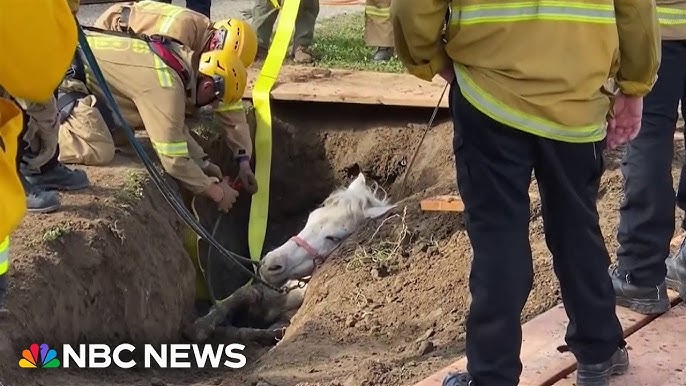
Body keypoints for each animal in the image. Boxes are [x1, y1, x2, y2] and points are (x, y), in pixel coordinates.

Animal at [185, 173, 396, 342]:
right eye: (310, 218)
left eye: (334, 238)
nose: (271, 264)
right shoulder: (264, 290)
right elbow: (242, 294)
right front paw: (203, 325)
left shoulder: (284, 318)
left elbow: (269, 331)